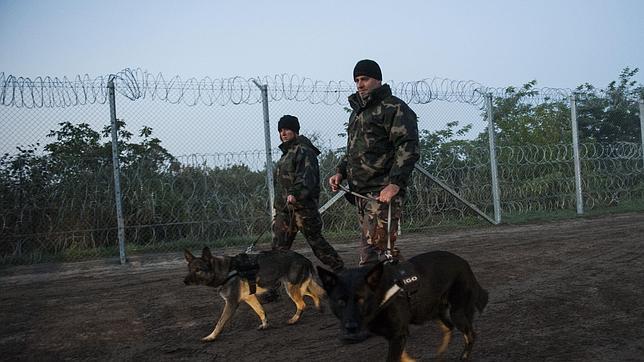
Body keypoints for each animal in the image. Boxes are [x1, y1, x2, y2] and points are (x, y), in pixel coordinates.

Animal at [185, 246, 328, 342]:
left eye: (198, 270)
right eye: (190, 269)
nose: (184, 281)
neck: (226, 271)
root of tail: (305, 258)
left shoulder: (231, 303)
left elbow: (220, 322)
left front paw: (211, 337)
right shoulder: (250, 298)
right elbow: (261, 311)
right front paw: (265, 325)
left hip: (291, 289)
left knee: (302, 304)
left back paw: (294, 320)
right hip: (297, 288)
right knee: (313, 295)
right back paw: (318, 307)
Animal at [316, 250, 488, 360]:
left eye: (361, 300)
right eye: (340, 301)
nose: (350, 327)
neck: (382, 294)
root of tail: (464, 263)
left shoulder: (398, 335)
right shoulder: (398, 335)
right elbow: (404, 356)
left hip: (457, 312)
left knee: (470, 335)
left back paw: (463, 356)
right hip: (431, 311)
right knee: (449, 327)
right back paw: (439, 354)